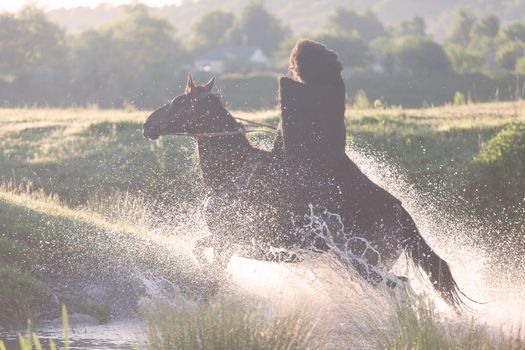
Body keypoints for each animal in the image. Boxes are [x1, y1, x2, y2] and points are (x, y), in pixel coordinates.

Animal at [142, 75, 466, 310]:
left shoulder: (228, 241)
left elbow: (212, 276)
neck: (233, 175)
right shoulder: (226, 240)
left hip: (363, 262)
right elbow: (199, 249)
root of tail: (400, 213)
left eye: (179, 101)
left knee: (399, 287)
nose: (147, 125)